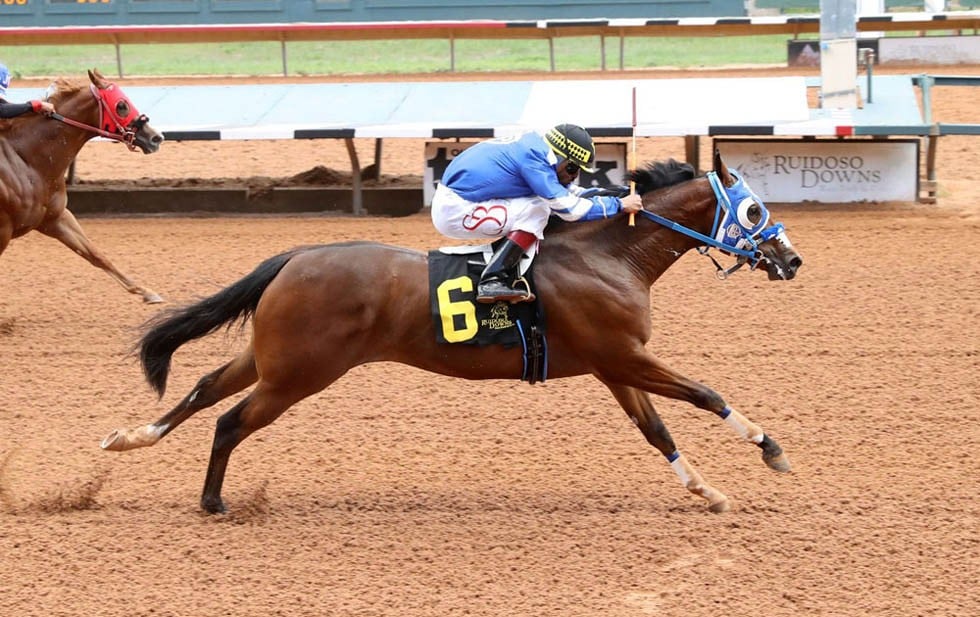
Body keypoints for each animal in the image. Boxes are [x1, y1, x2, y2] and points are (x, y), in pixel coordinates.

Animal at [0, 68, 165, 303]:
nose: (155, 138)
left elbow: (95, 254)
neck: (26, 160)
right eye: (121, 105)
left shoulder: (54, 218)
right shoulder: (3, 231)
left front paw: (146, 292)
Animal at [102, 151, 803, 514]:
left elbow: (657, 430)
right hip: (298, 373)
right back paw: (212, 501)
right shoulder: (625, 356)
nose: (791, 260)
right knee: (229, 420)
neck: (606, 256)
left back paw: (130, 439)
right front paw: (770, 448)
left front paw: (707, 489)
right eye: (755, 210)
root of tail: (296, 256)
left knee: (202, 390)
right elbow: (706, 395)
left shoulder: (614, 364)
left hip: (272, 358)